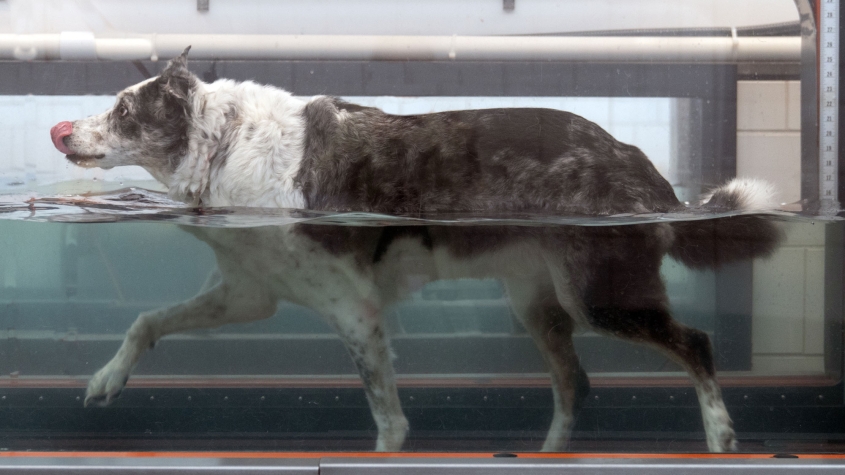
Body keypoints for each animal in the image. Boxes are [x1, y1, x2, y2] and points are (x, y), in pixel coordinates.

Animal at [51, 48, 780, 454]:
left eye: (122, 111)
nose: (59, 131)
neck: (224, 144)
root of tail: (637, 162)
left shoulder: (355, 313)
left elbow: (391, 425)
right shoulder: (247, 294)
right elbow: (147, 320)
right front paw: (106, 379)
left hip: (600, 294)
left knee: (696, 345)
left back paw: (719, 436)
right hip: (539, 303)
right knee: (574, 383)